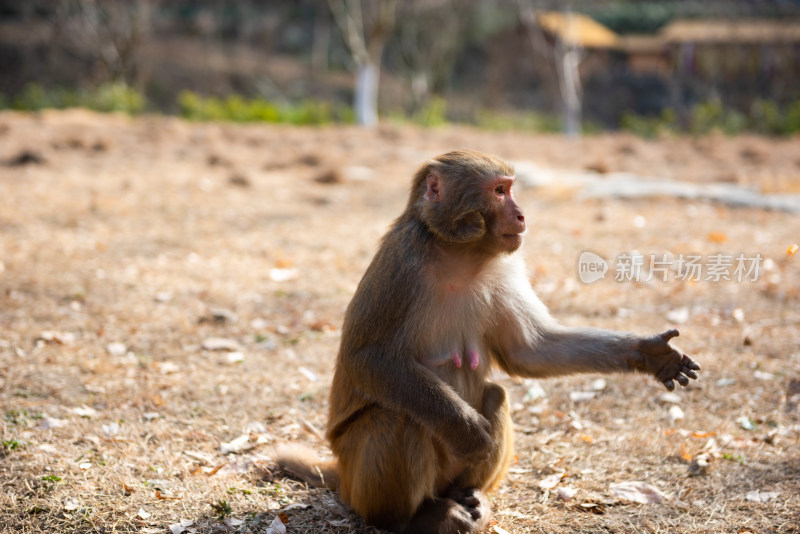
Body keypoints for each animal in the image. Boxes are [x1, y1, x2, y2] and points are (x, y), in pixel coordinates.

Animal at [276, 150, 700, 534]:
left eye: (510, 189)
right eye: (499, 191)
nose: (522, 215)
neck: (459, 254)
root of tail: (343, 477)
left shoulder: (505, 269)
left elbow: (530, 351)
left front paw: (649, 354)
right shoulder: (403, 261)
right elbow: (368, 357)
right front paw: (466, 429)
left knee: (495, 394)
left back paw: (468, 495)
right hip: (360, 479)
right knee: (399, 416)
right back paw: (413, 519)